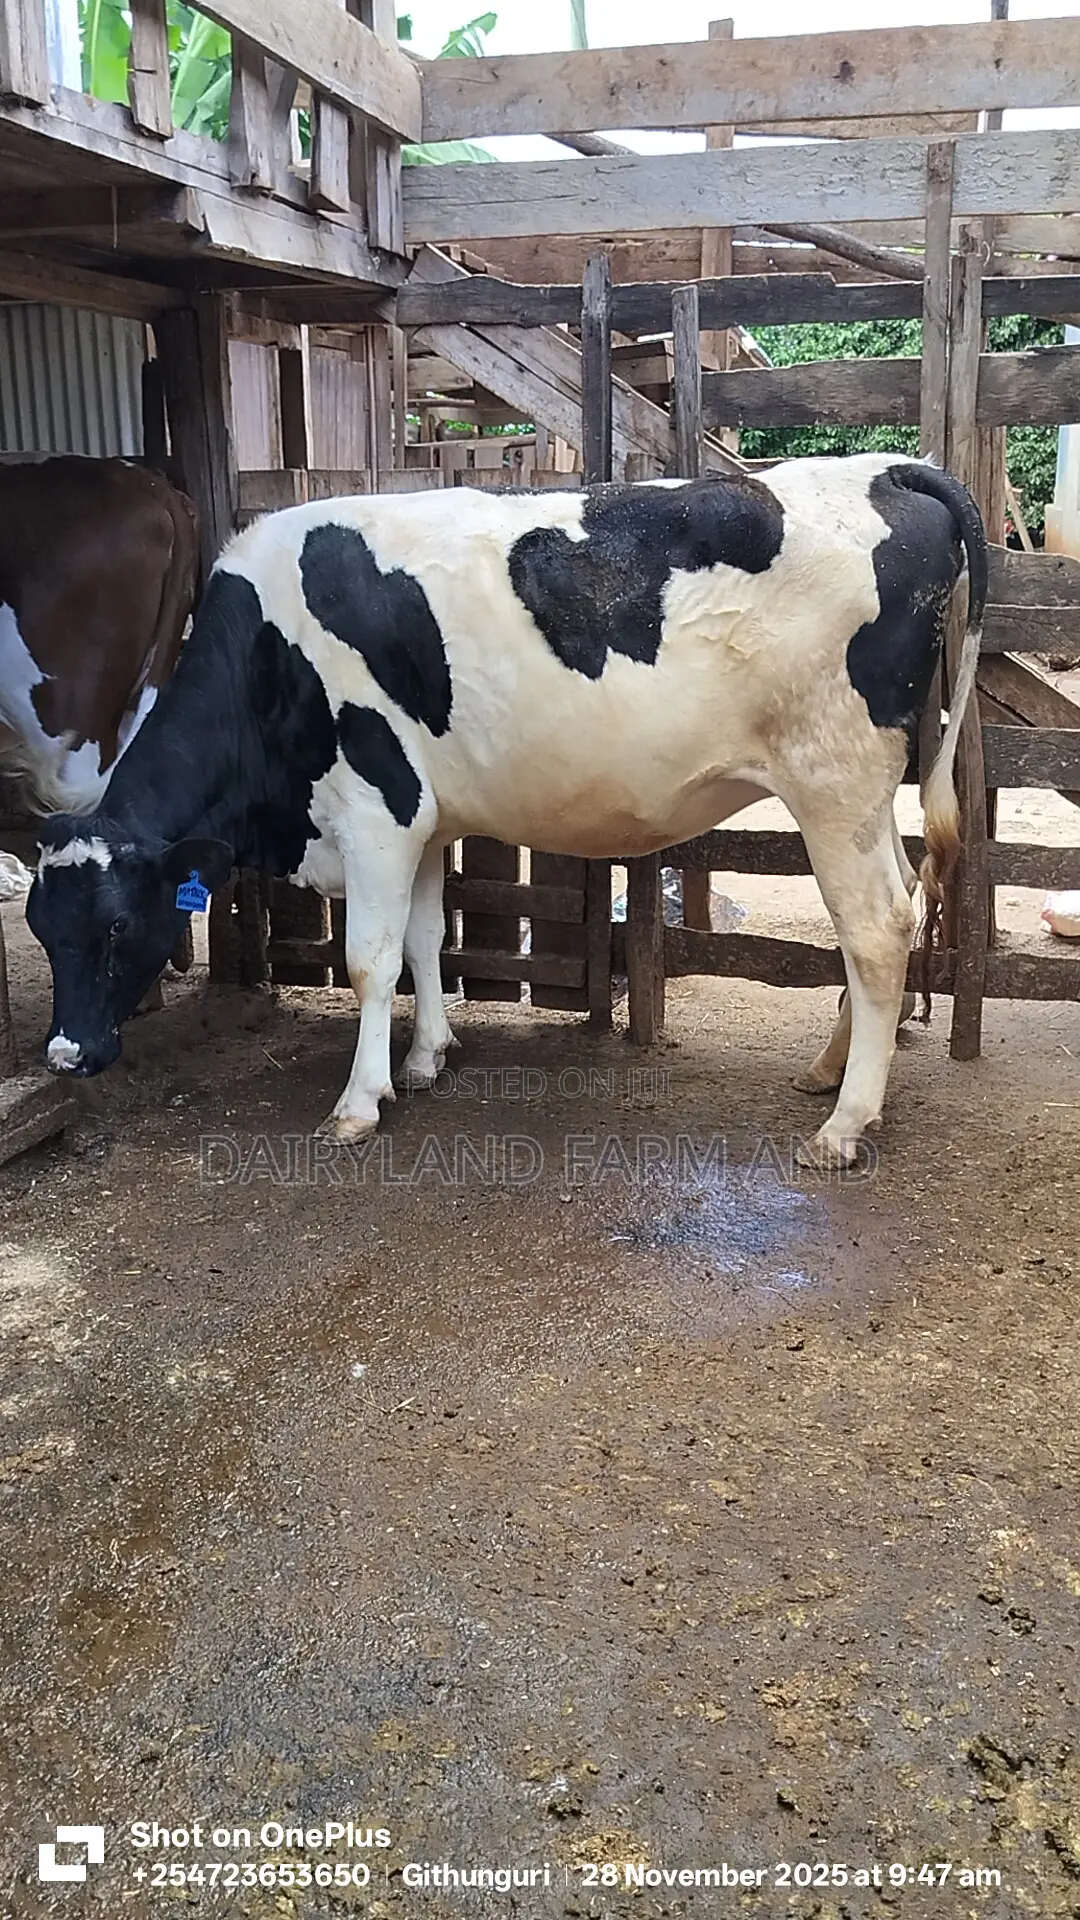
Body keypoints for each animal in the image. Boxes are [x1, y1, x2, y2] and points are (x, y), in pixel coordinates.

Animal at [25, 453, 986, 1167]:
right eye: (41, 925)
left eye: (117, 926)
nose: (66, 1054)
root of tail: (886, 467)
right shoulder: (422, 820)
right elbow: (423, 940)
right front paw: (424, 1058)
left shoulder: (375, 812)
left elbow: (370, 959)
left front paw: (357, 1102)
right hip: (861, 792)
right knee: (898, 905)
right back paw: (829, 1072)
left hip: (833, 778)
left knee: (873, 927)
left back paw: (845, 1124)